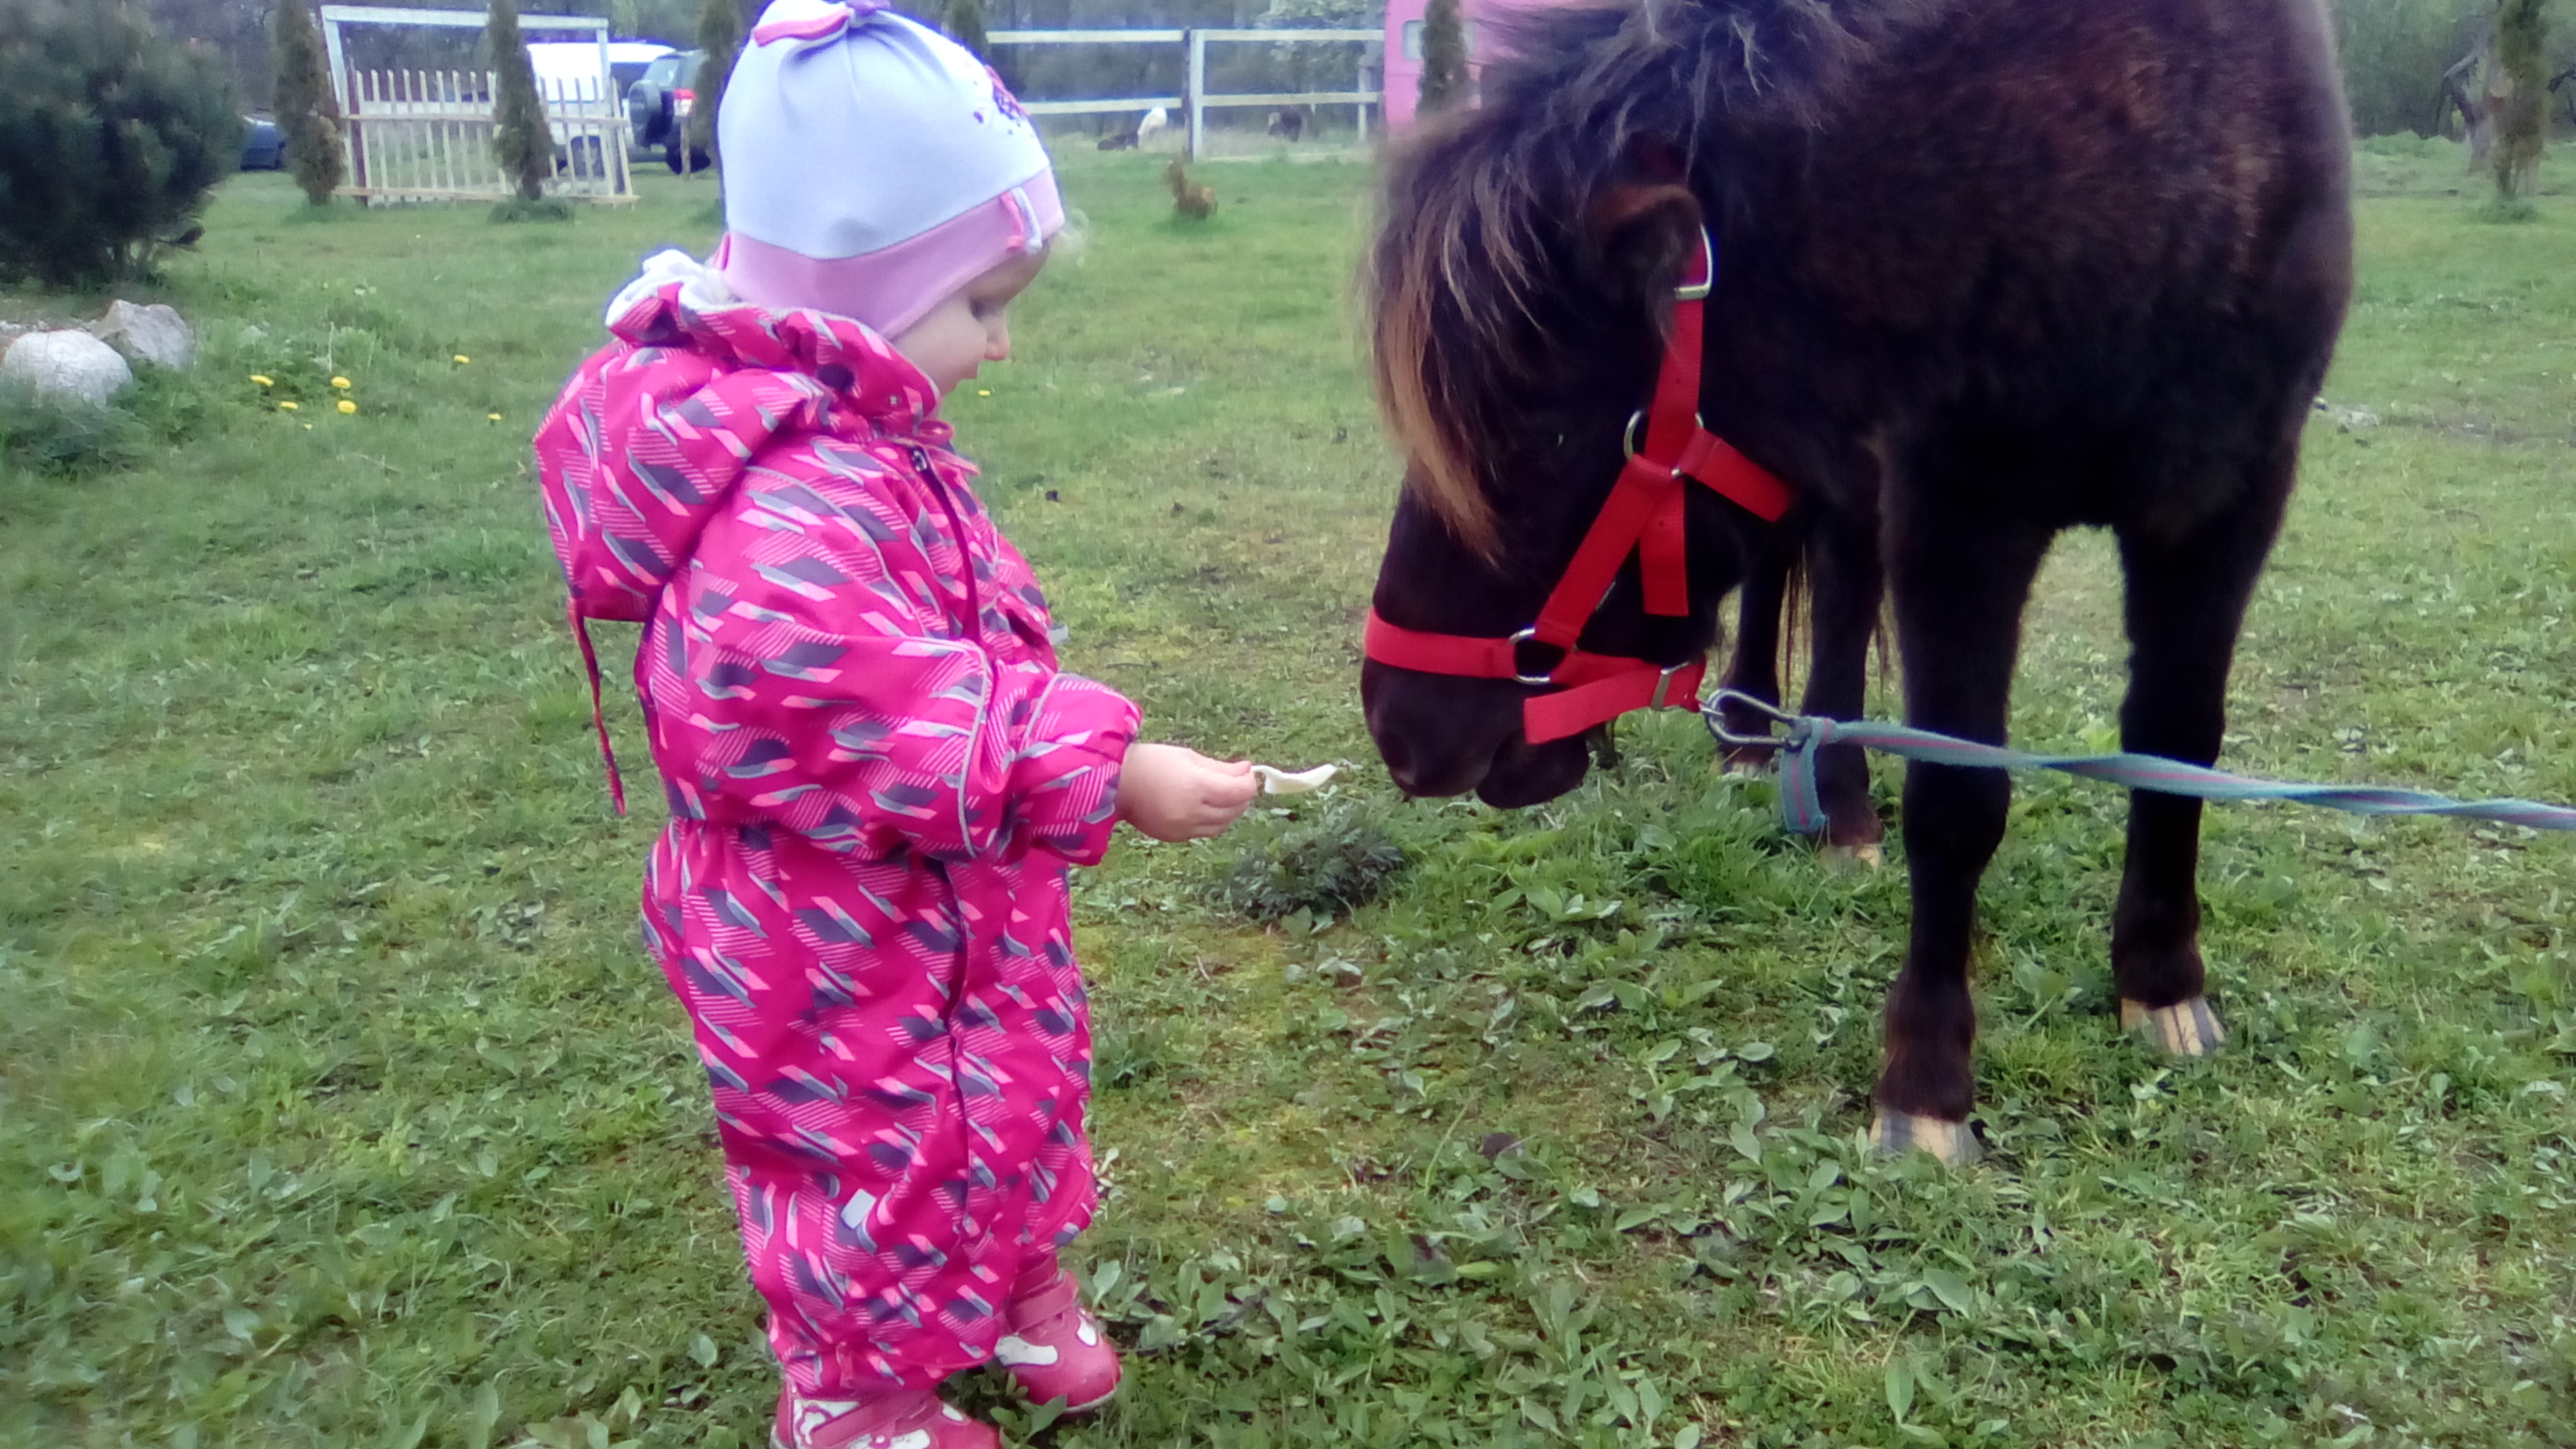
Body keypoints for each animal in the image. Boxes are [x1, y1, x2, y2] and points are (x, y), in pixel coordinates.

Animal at [1370, 0, 2359, 1155]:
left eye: (1536, 431)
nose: (1395, 725)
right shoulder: (1955, 509)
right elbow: (1956, 796)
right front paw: (1928, 1084)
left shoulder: (2232, 494)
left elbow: (2176, 748)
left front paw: (2161, 982)